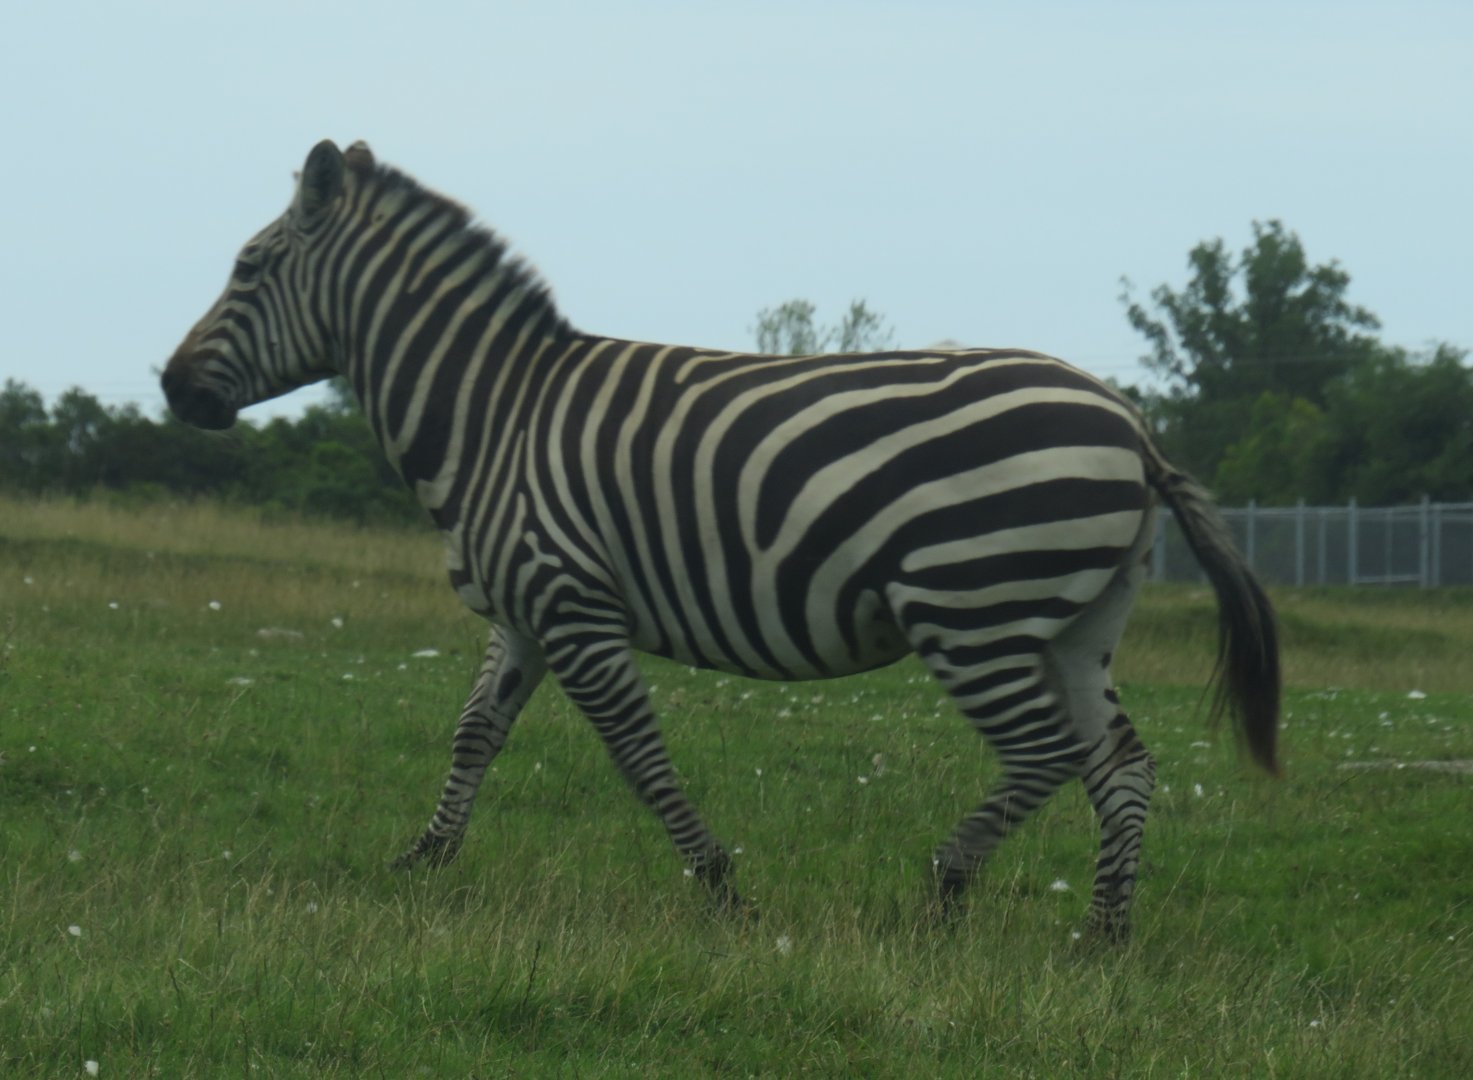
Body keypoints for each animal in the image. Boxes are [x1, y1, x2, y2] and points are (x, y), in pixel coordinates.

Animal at [162, 139, 1279, 941]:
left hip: (968, 605)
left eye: (249, 267)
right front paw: (424, 860)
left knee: (1046, 751)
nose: (170, 387)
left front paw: (720, 888)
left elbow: (636, 751)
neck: (494, 417)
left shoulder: (573, 604)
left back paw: (944, 888)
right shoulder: (523, 609)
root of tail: (1132, 425)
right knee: (1119, 764)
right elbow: (475, 730)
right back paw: (1104, 933)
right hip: (1076, 623)